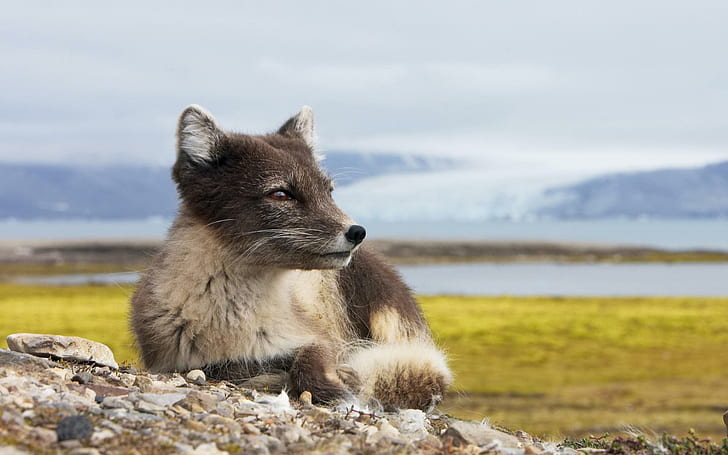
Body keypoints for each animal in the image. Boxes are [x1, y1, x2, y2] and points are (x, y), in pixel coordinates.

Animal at [129, 105, 452, 412]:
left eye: (329, 191)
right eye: (281, 194)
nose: (357, 232)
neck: (235, 321)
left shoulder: (317, 337)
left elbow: (309, 361)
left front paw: (337, 385)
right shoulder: (178, 360)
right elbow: (225, 368)